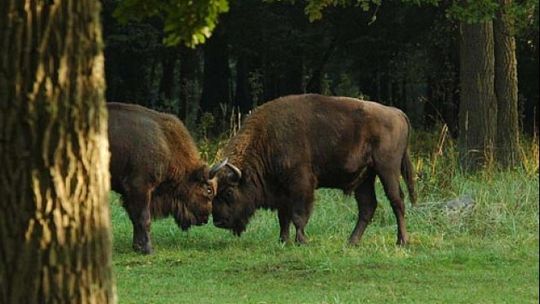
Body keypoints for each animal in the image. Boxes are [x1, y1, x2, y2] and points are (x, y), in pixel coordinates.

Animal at [107, 102, 228, 254]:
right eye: (209, 190)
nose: (206, 218)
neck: (165, 142)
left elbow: (135, 219)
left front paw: (137, 247)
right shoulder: (140, 188)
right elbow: (143, 218)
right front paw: (148, 249)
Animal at [213, 94, 416, 246]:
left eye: (229, 192)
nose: (218, 221)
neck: (266, 139)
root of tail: (397, 112)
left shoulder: (301, 184)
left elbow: (298, 215)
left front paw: (302, 241)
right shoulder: (282, 191)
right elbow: (283, 216)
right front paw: (283, 240)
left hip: (387, 169)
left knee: (397, 201)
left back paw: (402, 241)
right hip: (365, 177)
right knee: (368, 206)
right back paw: (351, 242)